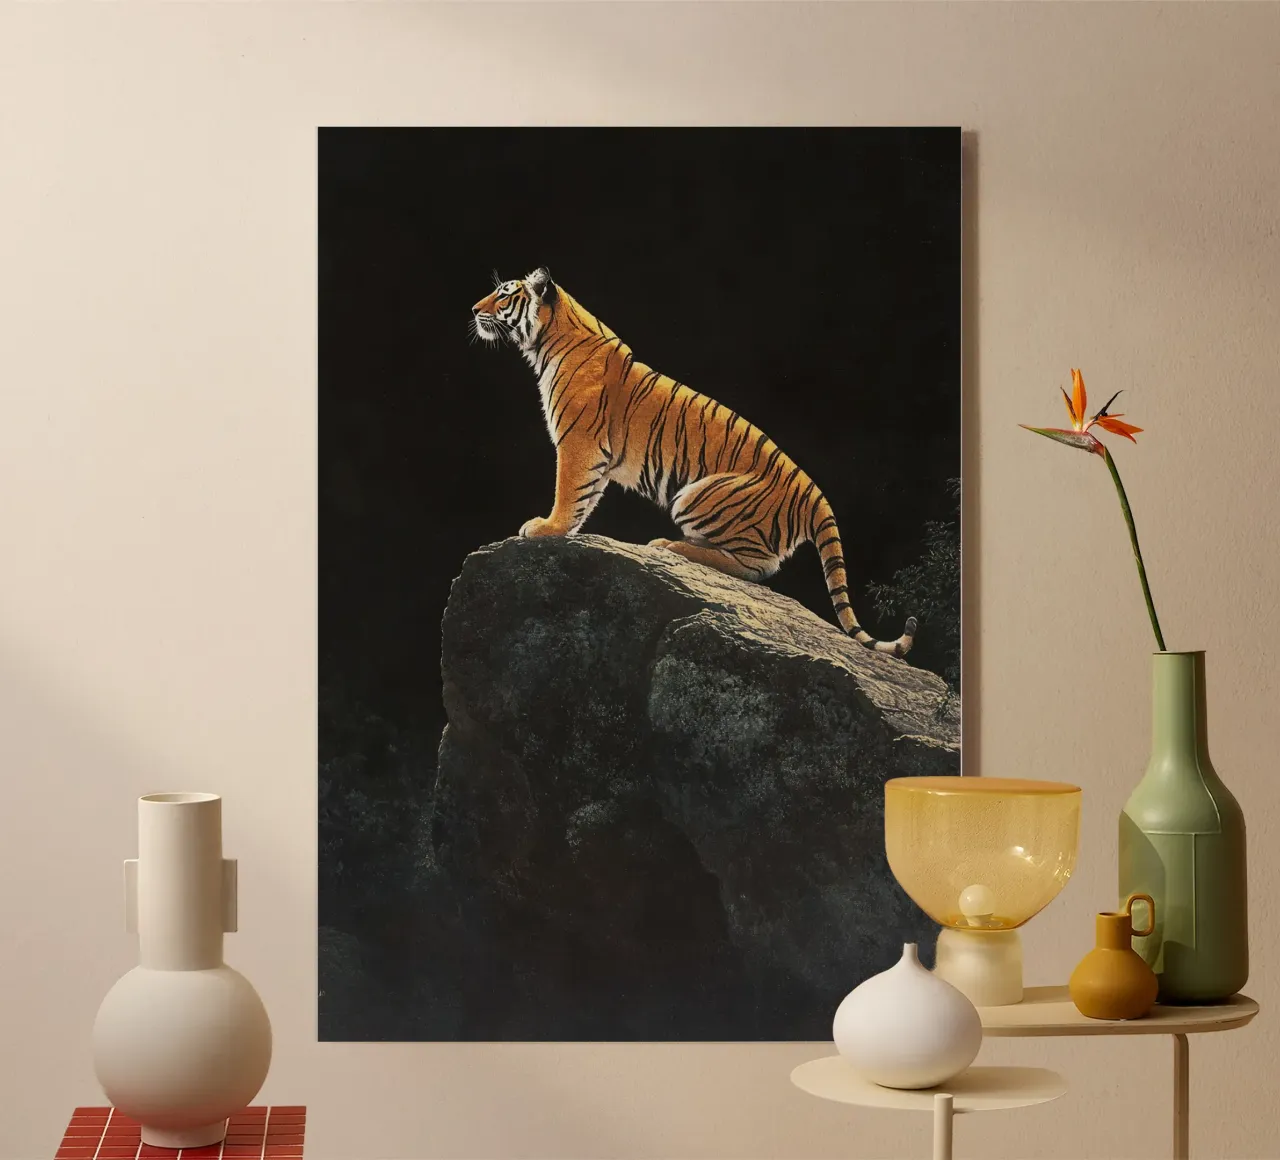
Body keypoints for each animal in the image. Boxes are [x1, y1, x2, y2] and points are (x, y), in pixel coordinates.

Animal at [471, 267, 917, 657]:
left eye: (505, 294)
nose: (474, 309)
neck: (550, 338)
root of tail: (814, 493)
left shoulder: (578, 443)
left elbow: (568, 491)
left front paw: (546, 528)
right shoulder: (594, 455)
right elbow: (585, 499)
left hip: (694, 496)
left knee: (757, 568)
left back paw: (670, 546)